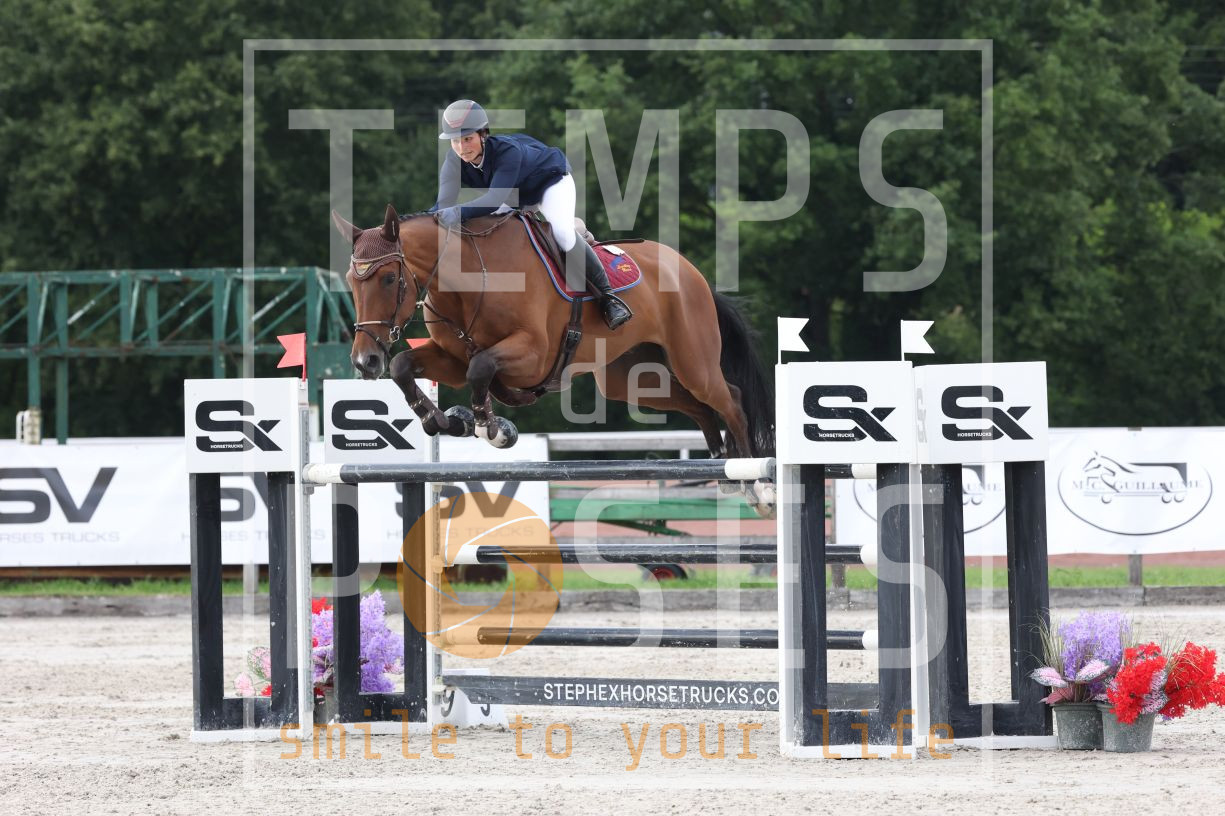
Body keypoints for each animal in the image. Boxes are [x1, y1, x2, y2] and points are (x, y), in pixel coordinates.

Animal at [331, 204, 774, 504]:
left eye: (390, 279)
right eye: (353, 279)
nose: (365, 361)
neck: (466, 280)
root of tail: (693, 273)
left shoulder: (532, 356)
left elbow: (481, 367)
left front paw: (491, 429)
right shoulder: (449, 359)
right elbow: (406, 366)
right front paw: (445, 421)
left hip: (693, 361)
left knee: (731, 401)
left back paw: (756, 484)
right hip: (631, 378)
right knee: (698, 407)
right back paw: (723, 465)